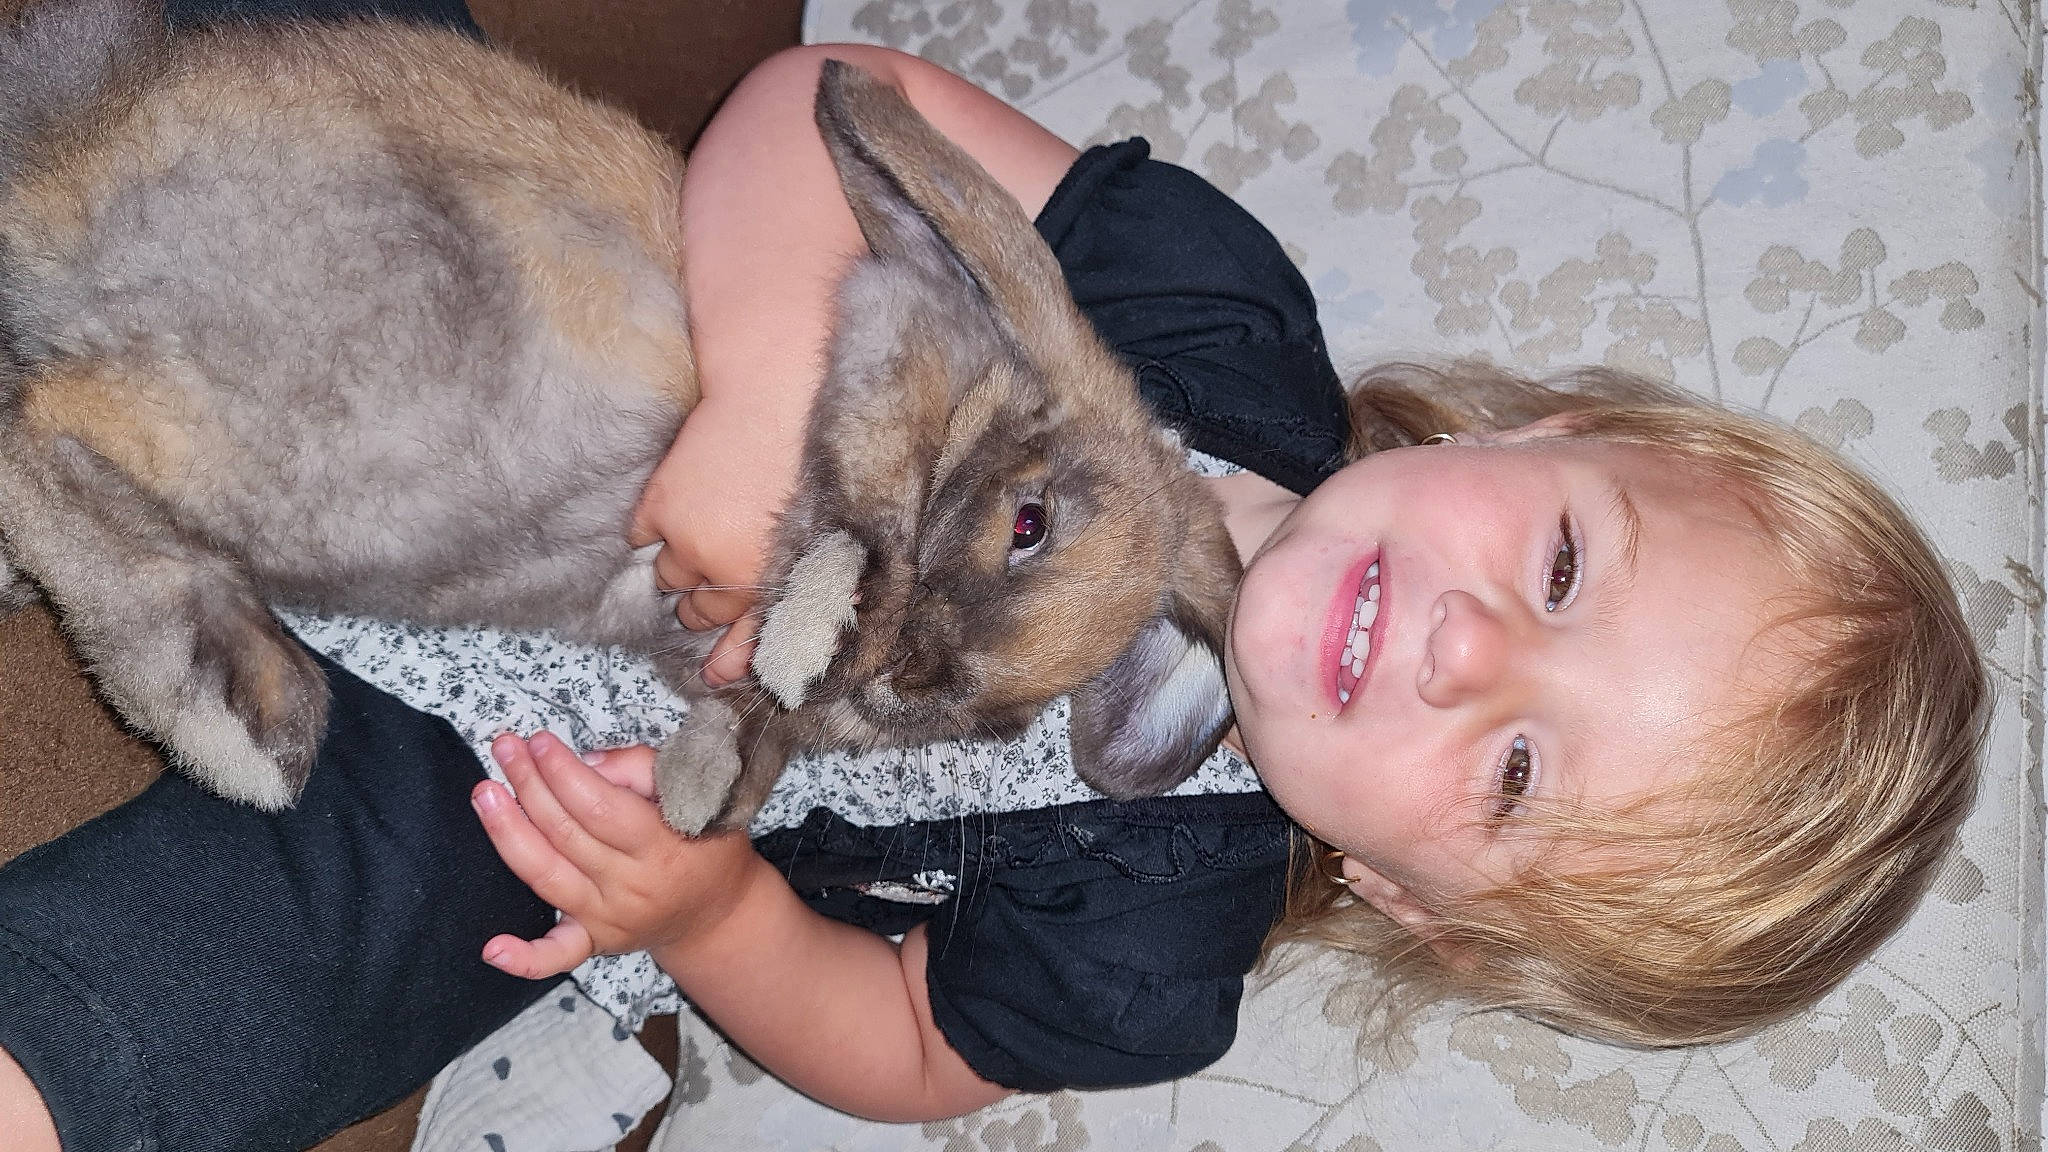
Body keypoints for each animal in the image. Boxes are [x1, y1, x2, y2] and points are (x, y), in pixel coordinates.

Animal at [0, 0, 1242, 835]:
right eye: (1028, 522)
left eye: (993, 727)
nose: (901, 680)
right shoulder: (883, 346)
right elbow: (865, 503)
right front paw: (813, 632)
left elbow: (754, 726)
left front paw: (700, 794)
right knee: (41, 427)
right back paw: (236, 725)